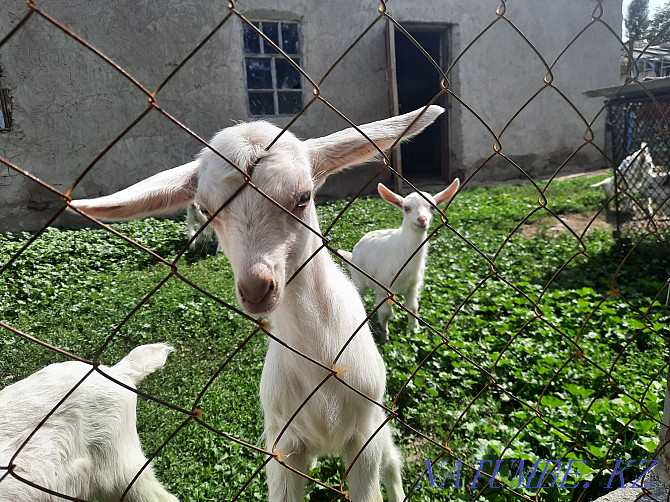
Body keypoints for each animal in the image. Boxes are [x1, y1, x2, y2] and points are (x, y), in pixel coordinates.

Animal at [71, 104, 446, 500]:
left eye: (303, 197)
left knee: (392, 464)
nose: (255, 289)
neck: (324, 366)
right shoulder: (283, 445)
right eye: (207, 209)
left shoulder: (365, 437)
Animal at [338, 180, 460, 342]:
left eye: (432, 207)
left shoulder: (412, 286)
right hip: (358, 277)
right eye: (406, 208)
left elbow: (413, 307)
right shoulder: (383, 286)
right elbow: (384, 313)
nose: (422, 220)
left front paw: (414, 330)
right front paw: (385, 337)